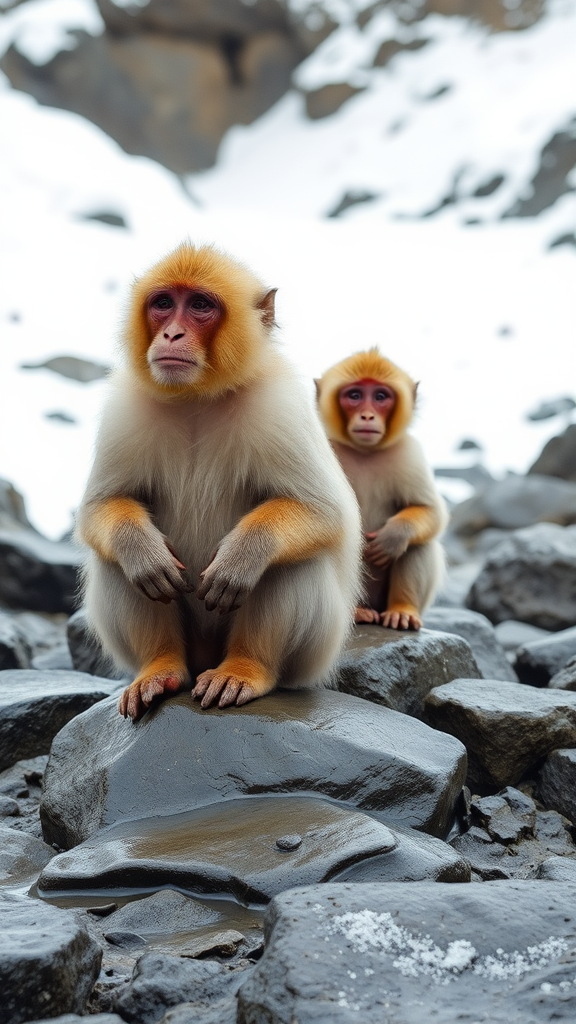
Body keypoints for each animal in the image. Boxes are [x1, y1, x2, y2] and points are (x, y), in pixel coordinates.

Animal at [78, 243, 360, 720]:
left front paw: (241, 556)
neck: (197, 396)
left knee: (293, 561)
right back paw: (161, 667)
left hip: (315, 654)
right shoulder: (126, 408)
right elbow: (103, 506)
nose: (171, 334)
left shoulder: (279, 406)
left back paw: (246, 669)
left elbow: (323, 512)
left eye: (200, 306)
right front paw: (142, 551)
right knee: (116, 562)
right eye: (163, 303)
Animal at [313, 348, 444, 626]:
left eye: (380, 396)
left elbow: (430, 511)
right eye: (354, 396)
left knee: (421, 543)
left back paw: (402, 609)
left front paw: (393, 536)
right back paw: (357, 612)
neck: (364, 452)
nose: (367, 416)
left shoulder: (409, 454)